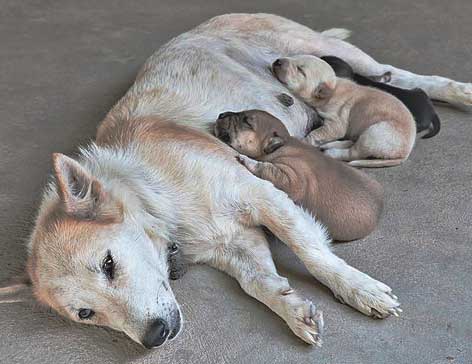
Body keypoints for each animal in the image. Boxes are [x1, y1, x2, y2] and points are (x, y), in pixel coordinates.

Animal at [214, 110, 384, 242]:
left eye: (246, 121)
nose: (221, 114)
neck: (283, 143)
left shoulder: (291, 179)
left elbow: (265, 167)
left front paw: (247, 160)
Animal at [272, 55, 416, 168]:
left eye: (300, 70)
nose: (278, 61)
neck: (333, 88)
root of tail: (406, 153)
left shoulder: (337, 118)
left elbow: (319, 133)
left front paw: (302, 142)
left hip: (377, 133)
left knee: (354, 153)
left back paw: (332, 152)